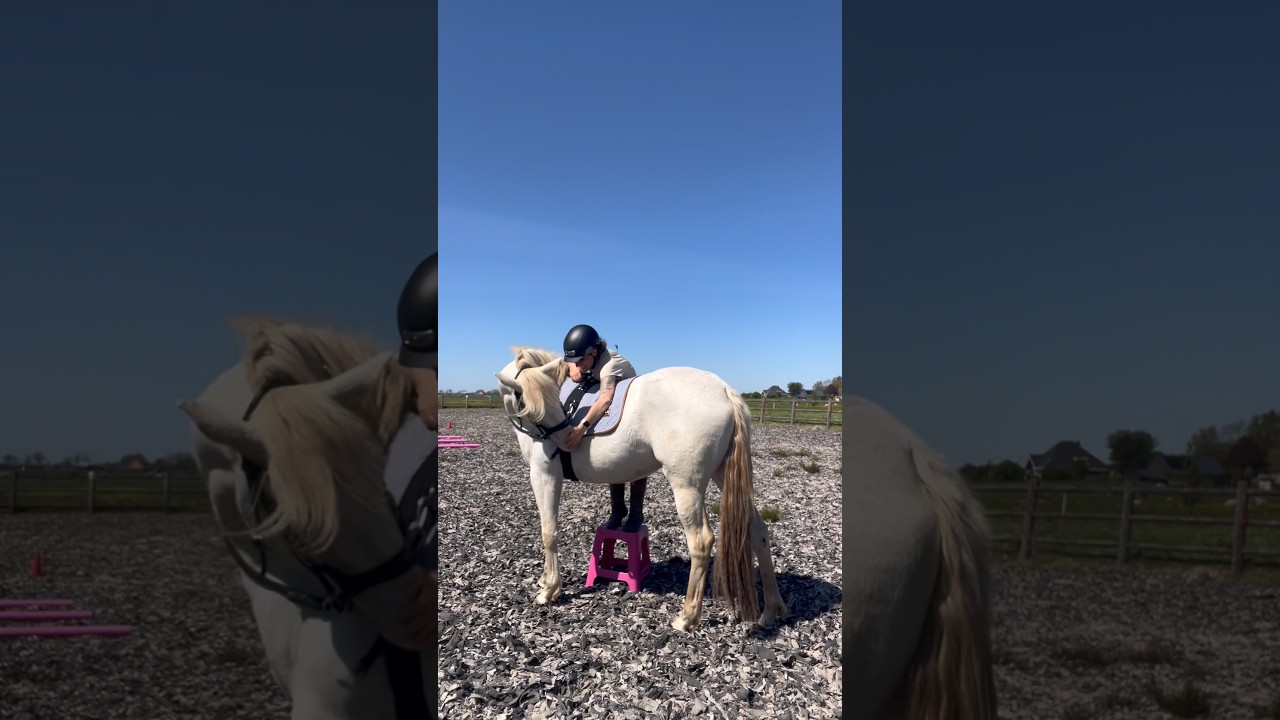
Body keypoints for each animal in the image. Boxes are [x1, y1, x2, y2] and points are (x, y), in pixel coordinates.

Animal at [493, 347, 788, 632]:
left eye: (547, 403)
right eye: (528, 405)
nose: (566, 439)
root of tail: (723, 390)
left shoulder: (544, 476)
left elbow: (549, 531)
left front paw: (550, 590)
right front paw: (545, 581)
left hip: (687, 486)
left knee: (701, 542)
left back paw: (687, 618)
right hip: (723, 475)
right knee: (757, 531)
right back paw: (770, 610)